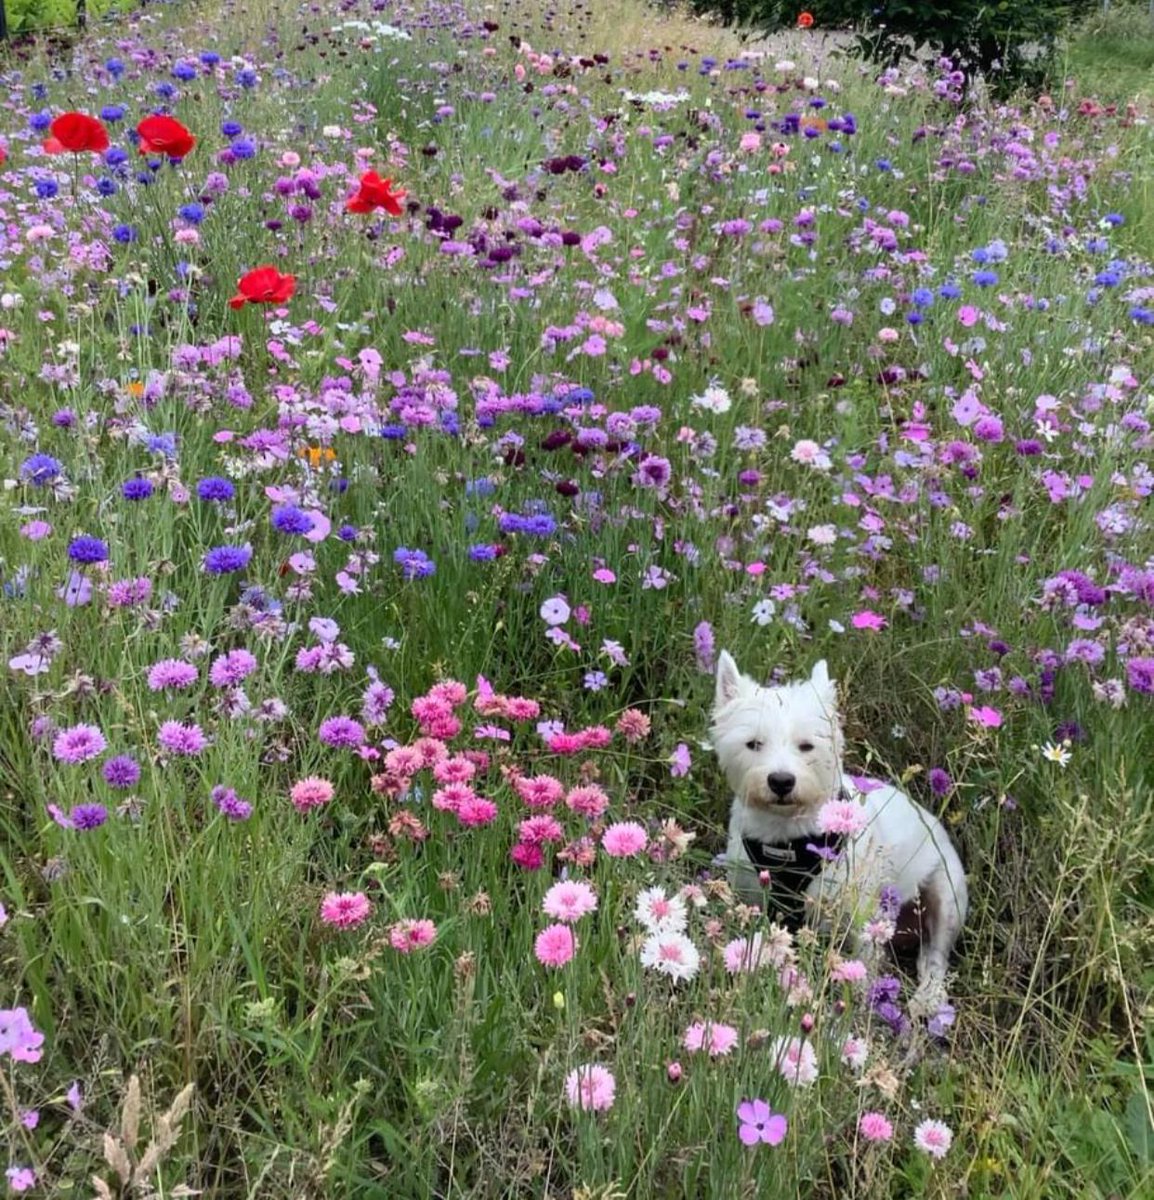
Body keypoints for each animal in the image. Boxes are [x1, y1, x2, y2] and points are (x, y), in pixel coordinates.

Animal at [710, 652, 964, 1008]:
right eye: (753, 744)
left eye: (807, 746)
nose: (781, 781)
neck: (788, 838)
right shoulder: (750, 896)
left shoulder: (862, 916)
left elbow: (863, 967)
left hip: (946, 895)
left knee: (934, 957)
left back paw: (926, 1000)